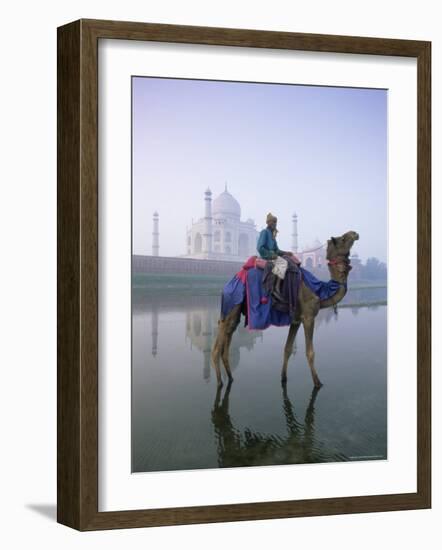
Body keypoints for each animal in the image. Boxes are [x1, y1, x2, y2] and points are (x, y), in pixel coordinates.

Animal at [211, 231, 360, 390]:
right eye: (343, 238)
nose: (355, 234)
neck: (319, 290)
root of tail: (227, 284)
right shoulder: (308, 317)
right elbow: (310, 352)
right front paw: (318, 383)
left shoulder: (296, 320)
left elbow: (287, 349)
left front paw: (283, 378)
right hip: (232, 302)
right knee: (217, 346)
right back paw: (219, 382)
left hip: (235, 308)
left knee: (229, 335)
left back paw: (230, 378)